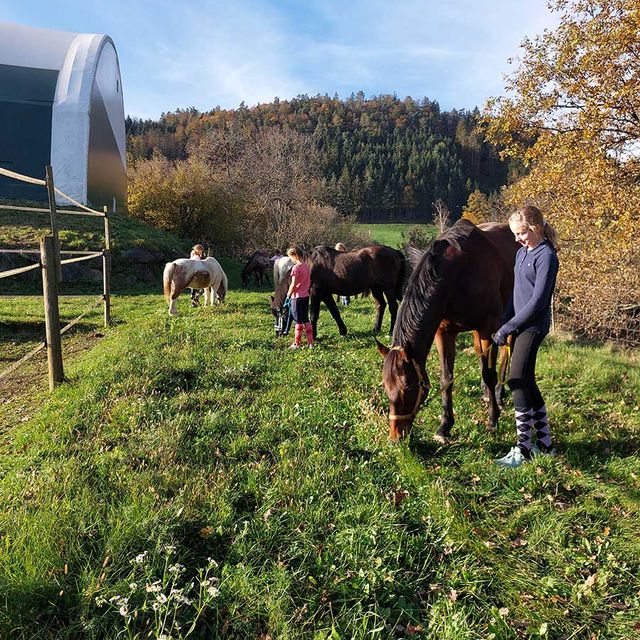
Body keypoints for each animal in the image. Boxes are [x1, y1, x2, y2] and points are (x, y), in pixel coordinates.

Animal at [272, 244, 404, 340]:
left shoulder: (316, 292)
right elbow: (334, 311)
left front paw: (313, 336)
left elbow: (314, 314)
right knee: (381, 305)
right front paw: (343, 331)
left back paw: (391, 333)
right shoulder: (325, 294)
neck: (309, 265)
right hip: (376, 288)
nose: (278, 333)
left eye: (279, 314)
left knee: (393, 307)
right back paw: (376, 329)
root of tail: (393, 251)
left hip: (388, 288)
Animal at [376, 219, 520, 440]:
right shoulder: (444, 333)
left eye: (409, 386)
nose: (396, 435)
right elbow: (447, 377)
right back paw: (486, 394)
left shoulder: (488, 328)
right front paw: (444, 426)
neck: (458, 274)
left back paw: (498, 394)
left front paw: (492, 419)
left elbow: (489, 372)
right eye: (385, 386)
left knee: (506, 351)